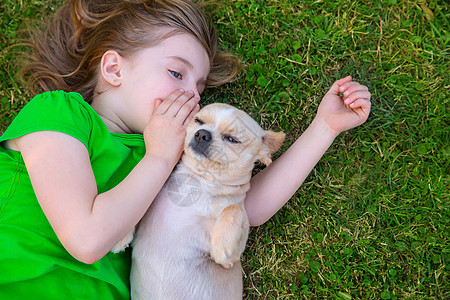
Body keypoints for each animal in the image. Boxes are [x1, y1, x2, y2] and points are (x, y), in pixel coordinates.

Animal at [114, 103, 284, 300]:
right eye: (198, 121)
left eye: (232, 139)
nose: (202, 134)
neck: (197, 182)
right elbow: (138, 203)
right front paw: (120, 233)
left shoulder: (231, 259)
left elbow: (233, 209)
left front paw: (223, 244)